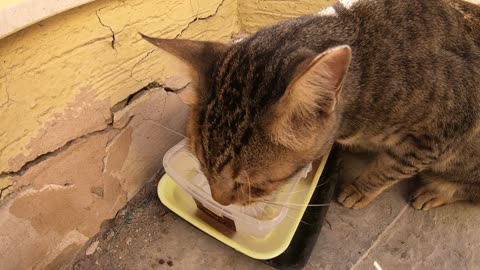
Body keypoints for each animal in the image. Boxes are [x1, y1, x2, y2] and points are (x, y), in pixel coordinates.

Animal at [142, 0, 480, 210]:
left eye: (257, 184)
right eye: (201, 165)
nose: (219, 202)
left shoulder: (442, 131)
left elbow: (390, 167)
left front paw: (361, 187)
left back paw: (436, 191)